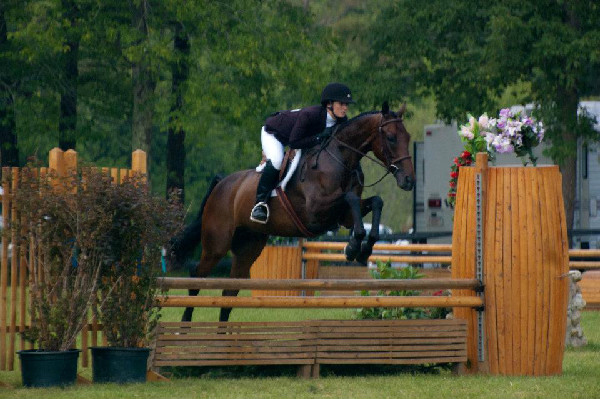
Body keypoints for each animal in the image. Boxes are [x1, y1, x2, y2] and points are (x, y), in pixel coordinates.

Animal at [173, 102, 414, 322]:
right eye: (391, 137)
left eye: (408, 137)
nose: (408, 180)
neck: (340, 158)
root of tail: (222, 183)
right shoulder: (315, 212)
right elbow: (350, 198)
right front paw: (353, 247)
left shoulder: (344, 216)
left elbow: (376, 202)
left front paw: (364, 247)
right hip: (216, 244)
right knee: (197, 277)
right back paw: (185, 324)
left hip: (248, 246)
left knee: (229, 292)